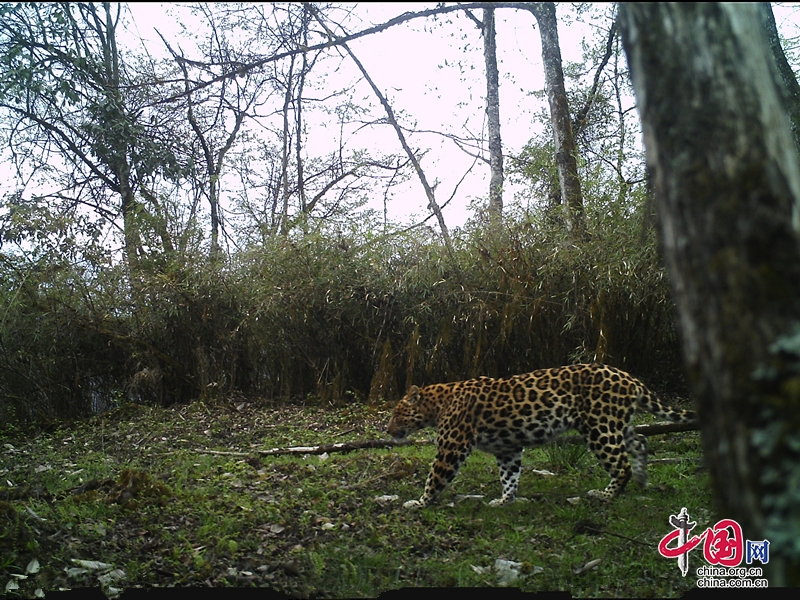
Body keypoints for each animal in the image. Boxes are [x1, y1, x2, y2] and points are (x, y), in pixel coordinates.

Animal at [386, 364, 692, 508]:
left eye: (397, 414)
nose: (387, 430)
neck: (437, 403)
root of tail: (629, 377)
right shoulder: (507, 448)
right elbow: (509, 476)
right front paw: (505, 501)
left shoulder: (453, 446)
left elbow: (435, 477)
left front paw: (420, 502)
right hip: (617, 423)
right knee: (640, 442)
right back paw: (642, 479)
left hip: (600, 426)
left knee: (621, 464)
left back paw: (605, 495)